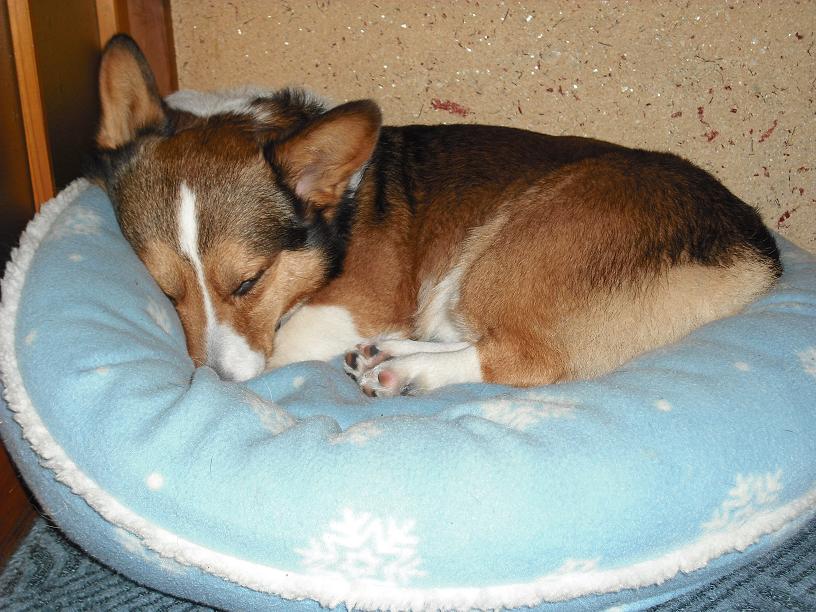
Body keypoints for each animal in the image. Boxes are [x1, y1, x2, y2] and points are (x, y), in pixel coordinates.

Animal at [91, 35, 781, 397]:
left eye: (248, 282)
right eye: (164, 289)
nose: (217, 384)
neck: (340, 217)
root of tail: (754, 253)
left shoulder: (354, 301)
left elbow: (286, 343)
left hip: (498, 261)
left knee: (520, 357)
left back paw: (406, 368)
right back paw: (387, 352)